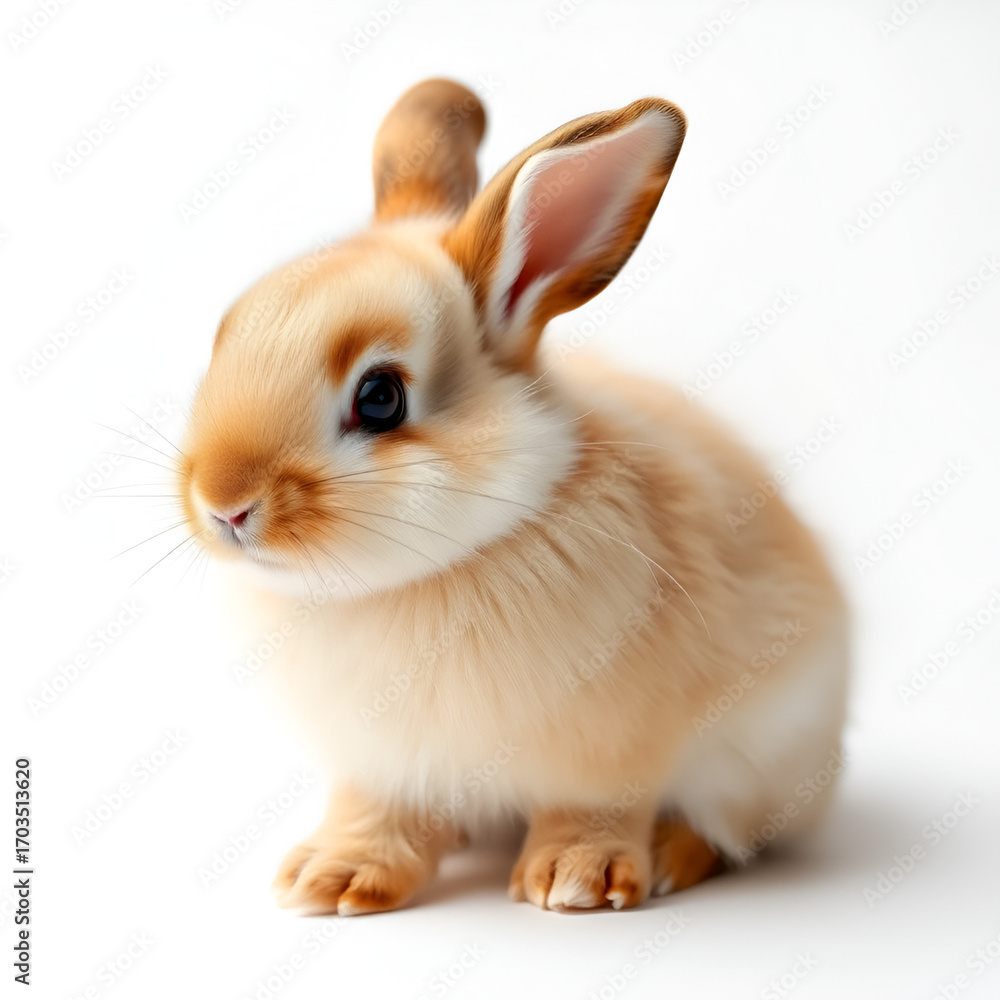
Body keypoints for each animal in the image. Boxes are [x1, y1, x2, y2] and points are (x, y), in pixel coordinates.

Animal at [177, 78, 848, 915]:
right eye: (224, 337)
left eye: (380, 397)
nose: (223, 504)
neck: (418, 580)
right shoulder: (380, 764)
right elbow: (376, 813)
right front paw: (332, 878)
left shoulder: (608, 749)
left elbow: (592, 806)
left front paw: (577, 880)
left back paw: (671, 853)